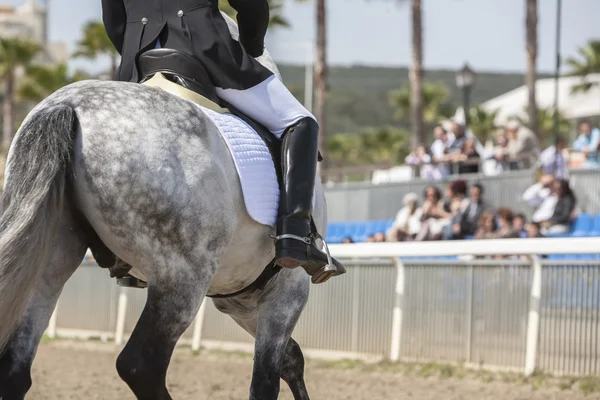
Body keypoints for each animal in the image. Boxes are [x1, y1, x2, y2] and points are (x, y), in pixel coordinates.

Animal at [0, 18, 328, 400]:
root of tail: (69, 106)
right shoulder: (288, 287)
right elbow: (267, 378)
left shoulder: (238, 297)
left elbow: (290, 358)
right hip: (180, 278)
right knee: (141, 365)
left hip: (51, 257)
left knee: (15, 368)